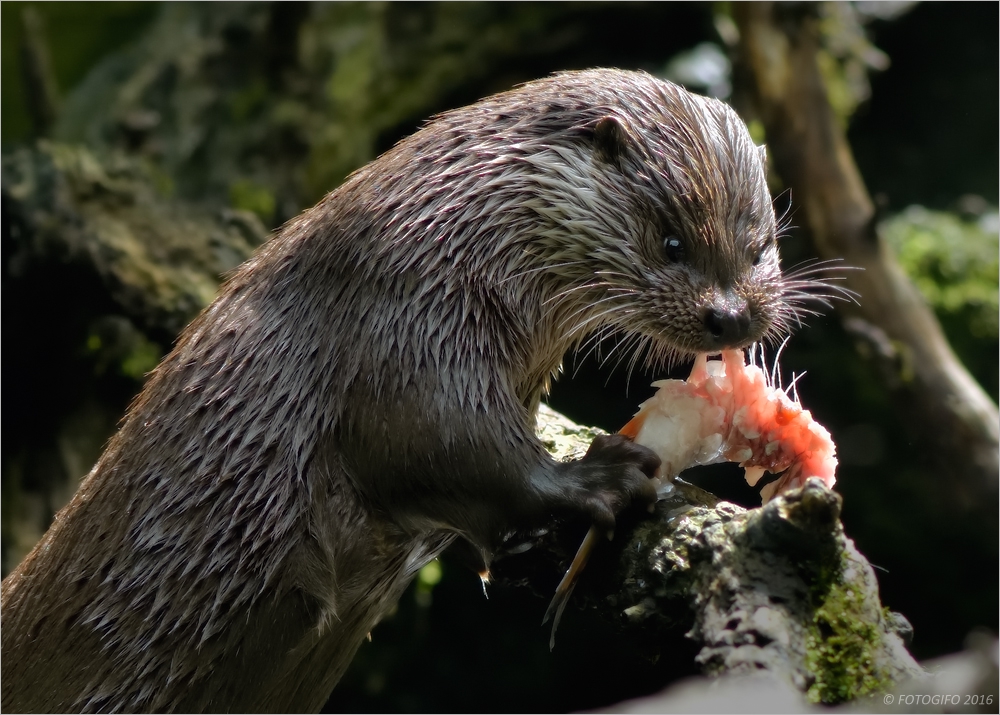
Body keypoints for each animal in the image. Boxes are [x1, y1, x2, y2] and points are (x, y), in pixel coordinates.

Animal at [0, 68, 804, 715]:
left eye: (761, 244)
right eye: (671, 241)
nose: (732, 315)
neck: (458, 232)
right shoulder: (401, 320)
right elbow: (440, 441)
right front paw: (595, 477)